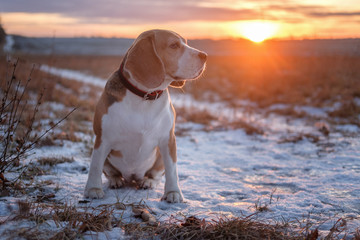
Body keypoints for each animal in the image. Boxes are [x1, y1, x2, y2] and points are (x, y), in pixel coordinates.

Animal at [84, 29, 207, 202]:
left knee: (155, 176)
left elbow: (172, 171)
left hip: (160, 158)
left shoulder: (168, 139)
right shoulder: (102, 139)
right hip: (104, 156)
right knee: (111, 173)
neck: (145, 96)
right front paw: (93, 189)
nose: (205, 56)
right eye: (174, 45)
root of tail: (132, 177)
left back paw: (148, 182)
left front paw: (173, 192)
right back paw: (116, 180)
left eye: (186, 42)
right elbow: (95, 166)